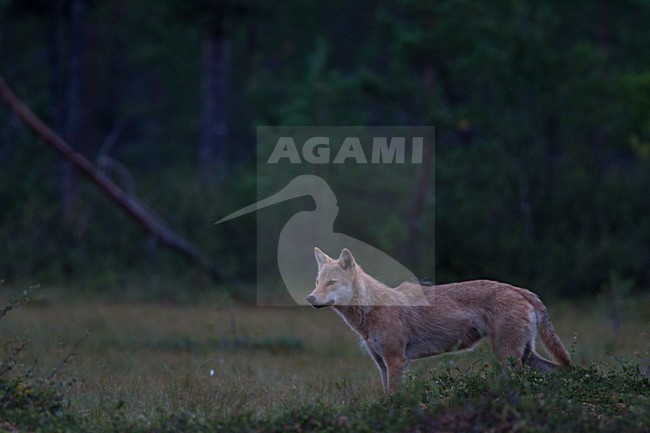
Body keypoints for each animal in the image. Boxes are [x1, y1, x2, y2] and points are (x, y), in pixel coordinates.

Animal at [306, 247, 571, 393]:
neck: (372, 309)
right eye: (317, 282)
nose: (310, 298)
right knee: (563, 370)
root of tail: (521, 290)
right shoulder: (382, 364)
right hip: (525, 356)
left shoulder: (395, 361)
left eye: (331, 283)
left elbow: (394, 399)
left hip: (508, 358)